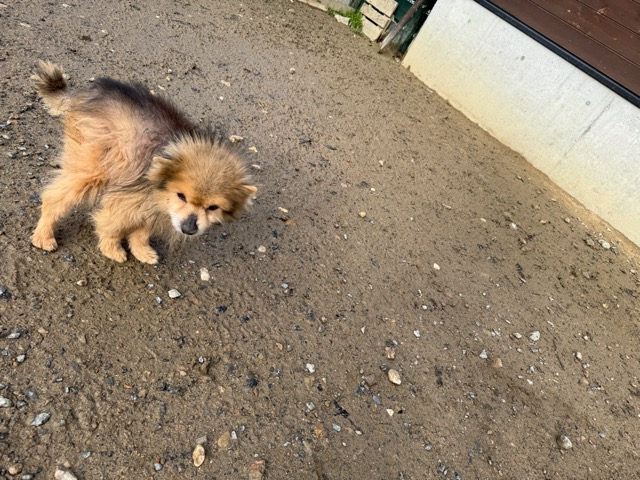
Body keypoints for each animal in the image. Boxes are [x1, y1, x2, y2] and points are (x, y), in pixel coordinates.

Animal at [30, 60, 256, 264]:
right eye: (181, 196)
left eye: (213, 207)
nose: (188, 229)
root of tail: (89, 93)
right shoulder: (130, 198)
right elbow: (112, 224)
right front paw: (111, 248)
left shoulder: (158, 207)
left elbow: (142, 232)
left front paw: (141, 250)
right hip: (94, 166)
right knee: (54, 198)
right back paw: (44, 235)